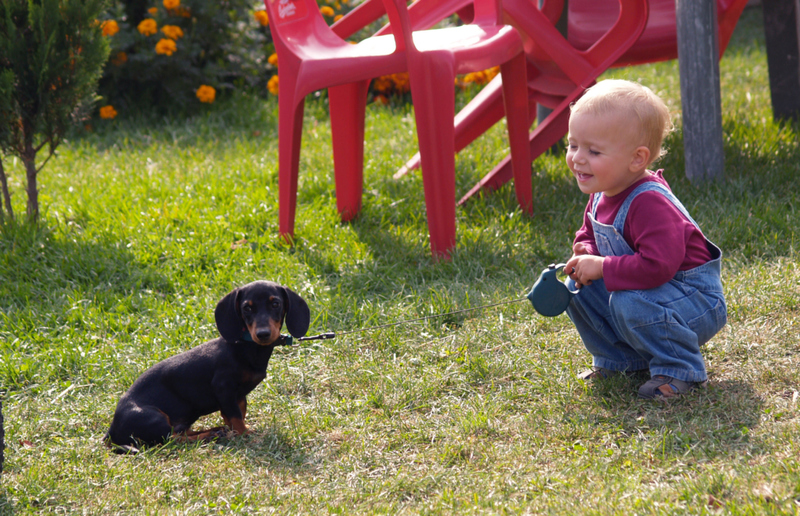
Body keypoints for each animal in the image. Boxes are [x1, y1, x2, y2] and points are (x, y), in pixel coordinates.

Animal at [104, 282, 310, 452]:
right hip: (153, 417)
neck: (244, 346)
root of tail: (112, 431)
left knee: (180, 434)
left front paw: (236, 431)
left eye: (275, 304)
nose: (263, 334)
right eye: (247, 308)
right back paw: (209, 435)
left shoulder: (238, 395)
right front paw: (246, 435)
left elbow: (237, 413)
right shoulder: (223, 387)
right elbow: (236, 417)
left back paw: (214, 432)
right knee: (172, 440)